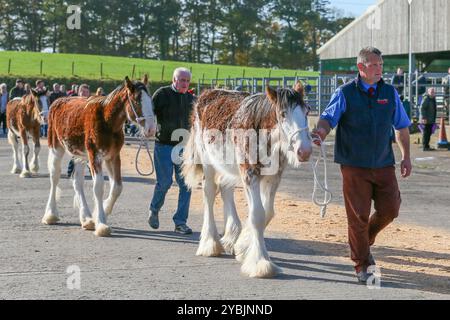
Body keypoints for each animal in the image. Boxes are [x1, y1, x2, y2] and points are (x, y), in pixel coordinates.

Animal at [42, 74, 157, 235]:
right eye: (136, 100)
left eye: (150, 100)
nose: (151, 129)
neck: (107, 121)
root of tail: (57, 102)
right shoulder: (94, 156)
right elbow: (99, 187)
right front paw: (102, 224)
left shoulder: (112, 156)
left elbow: (117, 187)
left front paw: (101, 212)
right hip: (56, 148)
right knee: (55, 177)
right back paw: (50, 215)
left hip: (79, 156)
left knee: (77, 182)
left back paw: (87, 219)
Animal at [181, 83, 312, 278]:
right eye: (283, 114)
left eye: (306, 111)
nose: (304, 151)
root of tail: (206, 94)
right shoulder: (250, 175)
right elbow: (257, 215)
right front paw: (260, 263)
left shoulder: (273, 178)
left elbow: (267, 213)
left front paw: (242, 247)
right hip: (207, 160)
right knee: (209, 192)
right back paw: (210, 243)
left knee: (225, 188)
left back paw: (230, 238)